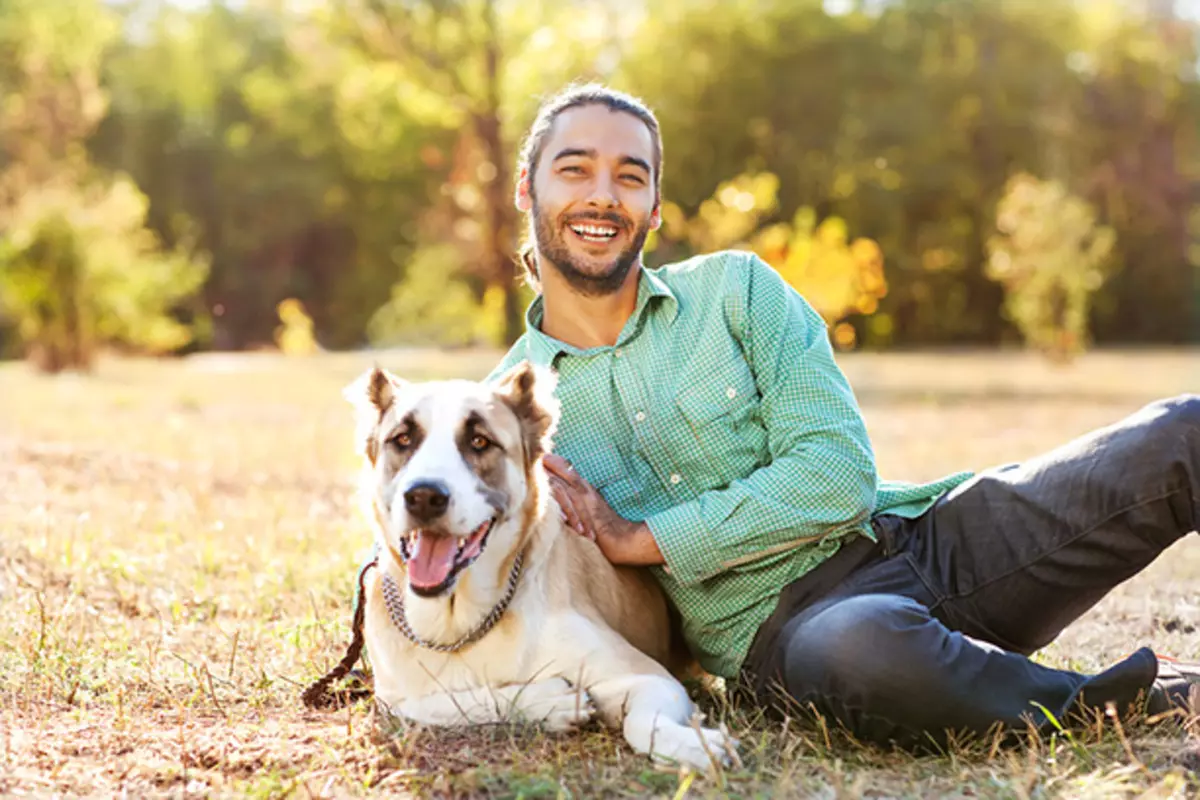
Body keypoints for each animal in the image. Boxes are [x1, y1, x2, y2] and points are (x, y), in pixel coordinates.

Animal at [333, 362, 734, 767]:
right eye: (402, 439)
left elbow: (642, 721)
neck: (460, 623)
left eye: (480, 442)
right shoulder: (394, 698)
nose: (425, 496)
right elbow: (438, 703)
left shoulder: (650, 676)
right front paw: (550, 701)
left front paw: (693, 746)